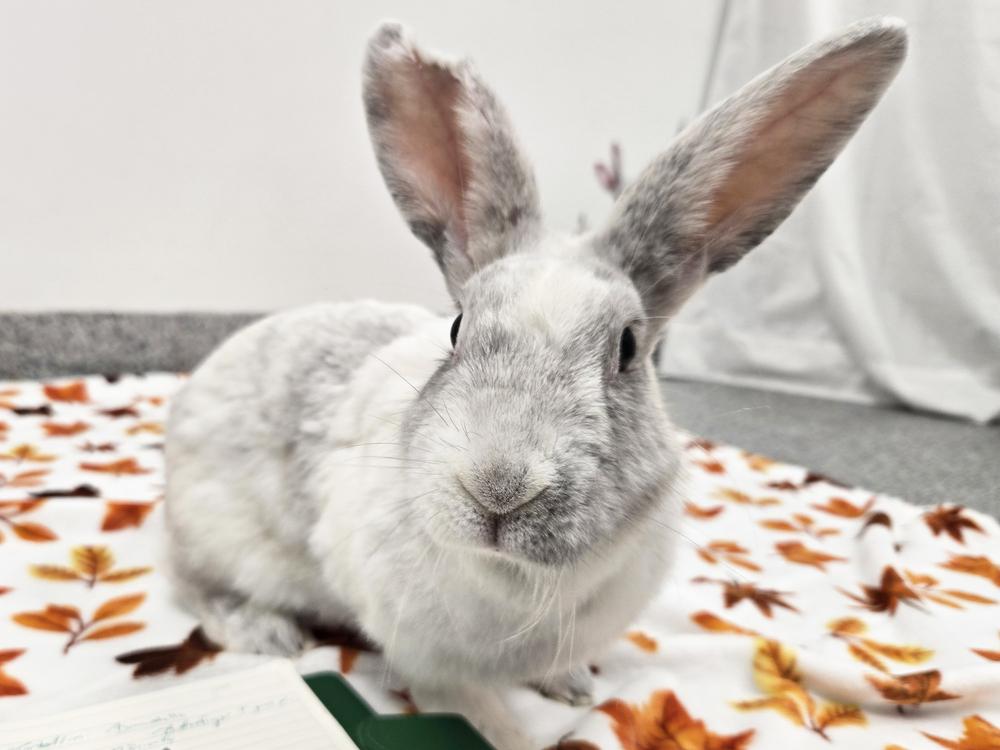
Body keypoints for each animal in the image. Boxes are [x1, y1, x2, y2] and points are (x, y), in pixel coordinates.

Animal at [164, 17, 907, 750]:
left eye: (628, 349)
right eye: (457, 328)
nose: (499, 487)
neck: (519, 580)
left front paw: (574, 687)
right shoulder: (424, 658)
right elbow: (465, 705)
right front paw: (510, 735)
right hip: (221, 540)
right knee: (192, 587)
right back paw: (271, 634)